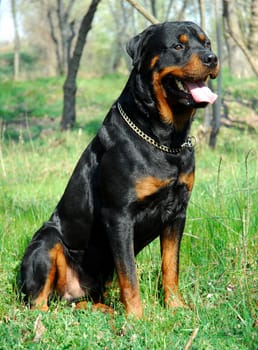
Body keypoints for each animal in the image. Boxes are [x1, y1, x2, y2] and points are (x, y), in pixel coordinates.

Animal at [20, 21, 219, 318]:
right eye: (177, 45)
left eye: (206, 43)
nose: (212, 58)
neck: (165, 139)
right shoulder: (119, 216)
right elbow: (129, 275)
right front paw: (137, 317)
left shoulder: (177, 213)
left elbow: (170, 266)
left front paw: (176, 306)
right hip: (46, 241)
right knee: (38, 304)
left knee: (77, 302)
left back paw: (102, 310)